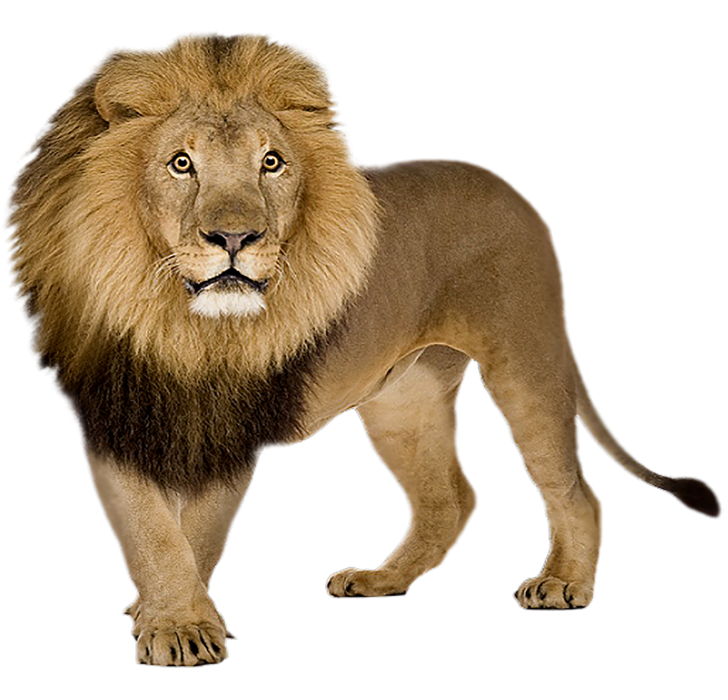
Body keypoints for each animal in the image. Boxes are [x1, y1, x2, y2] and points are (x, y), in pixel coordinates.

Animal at [4, 30, 722, 667]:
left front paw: (183, 627)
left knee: (574, 488)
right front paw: (167, 618)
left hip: (525, 359)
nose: (235, 238)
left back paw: (564, 583)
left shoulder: (238, 427)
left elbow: (199, 532)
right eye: (182, 163)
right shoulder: (111, 417)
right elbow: (150, 534)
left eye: (271, 162)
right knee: (450, 499)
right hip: (402, 399)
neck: (180, 324)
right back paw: (382, 581)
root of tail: (516, 193)